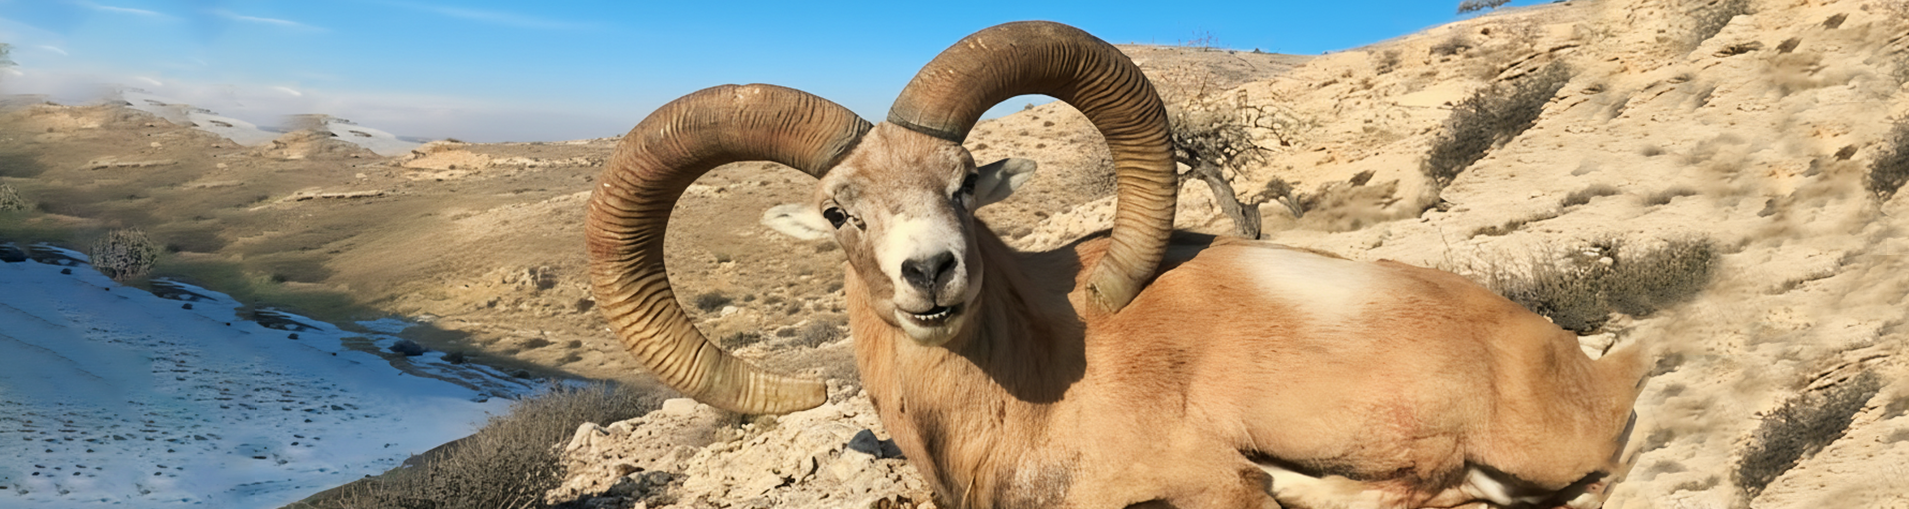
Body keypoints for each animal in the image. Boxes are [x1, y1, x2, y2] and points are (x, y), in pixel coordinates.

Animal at [584, 21, 1650, 509]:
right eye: (838, 211)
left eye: (964, 183)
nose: (931, 273)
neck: (1026, 395)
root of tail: (1586, 367)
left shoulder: (1203, 485)